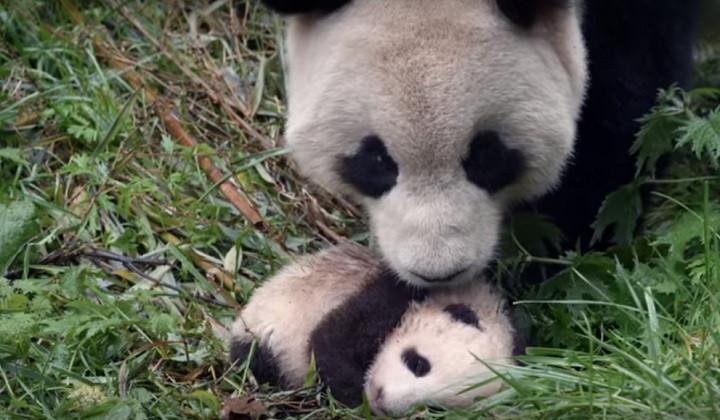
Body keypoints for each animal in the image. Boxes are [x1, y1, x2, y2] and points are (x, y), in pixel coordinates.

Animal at [229, 242, 520, 413]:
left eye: (436, 409)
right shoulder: (394, 295)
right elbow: (329, 342)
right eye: (418, 364)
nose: (381, 400)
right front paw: (353, 393)